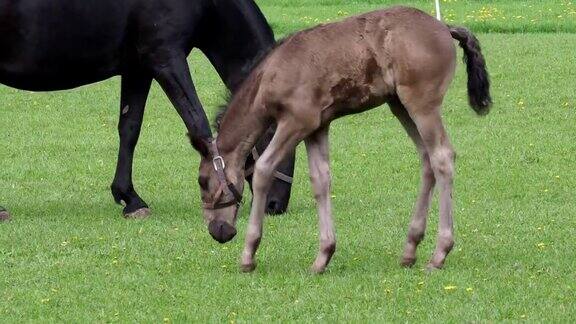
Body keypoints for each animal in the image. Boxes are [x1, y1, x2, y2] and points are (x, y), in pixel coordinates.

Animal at [0, 0, 294, 220]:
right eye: (276, 137)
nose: (275, 206)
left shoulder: (138, 68)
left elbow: (130, 129)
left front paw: (130, 198)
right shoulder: (166, 59)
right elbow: (197, 122)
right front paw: (223, 190)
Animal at [192, 6, 490, 272]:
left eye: (203, 181)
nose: (217, 230)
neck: (271, 75)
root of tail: (444, 27)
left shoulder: (296, 122)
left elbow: (265, 168)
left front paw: (248, 254)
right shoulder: (317, 127)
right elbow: (320, 179)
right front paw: (323, 256)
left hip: (422, 105)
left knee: (442, 157)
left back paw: (439, 253)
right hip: (400, 106)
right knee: (427, 159)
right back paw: (410, 249)